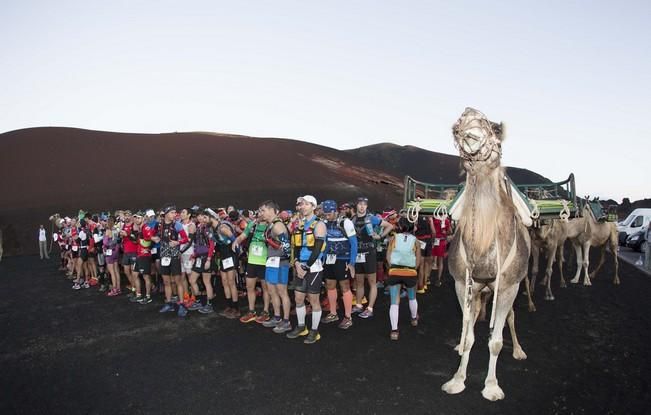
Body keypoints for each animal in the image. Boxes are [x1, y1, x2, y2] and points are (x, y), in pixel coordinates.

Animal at [444, 109, 528, 402]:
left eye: (495, 132)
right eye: (458, 126)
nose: (469, 133)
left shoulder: (509, 287)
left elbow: (496, 340)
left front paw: (491, 387)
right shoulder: (462, 284)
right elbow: (469, 335)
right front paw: (457, 379)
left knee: (511, 317)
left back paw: (519, 351)